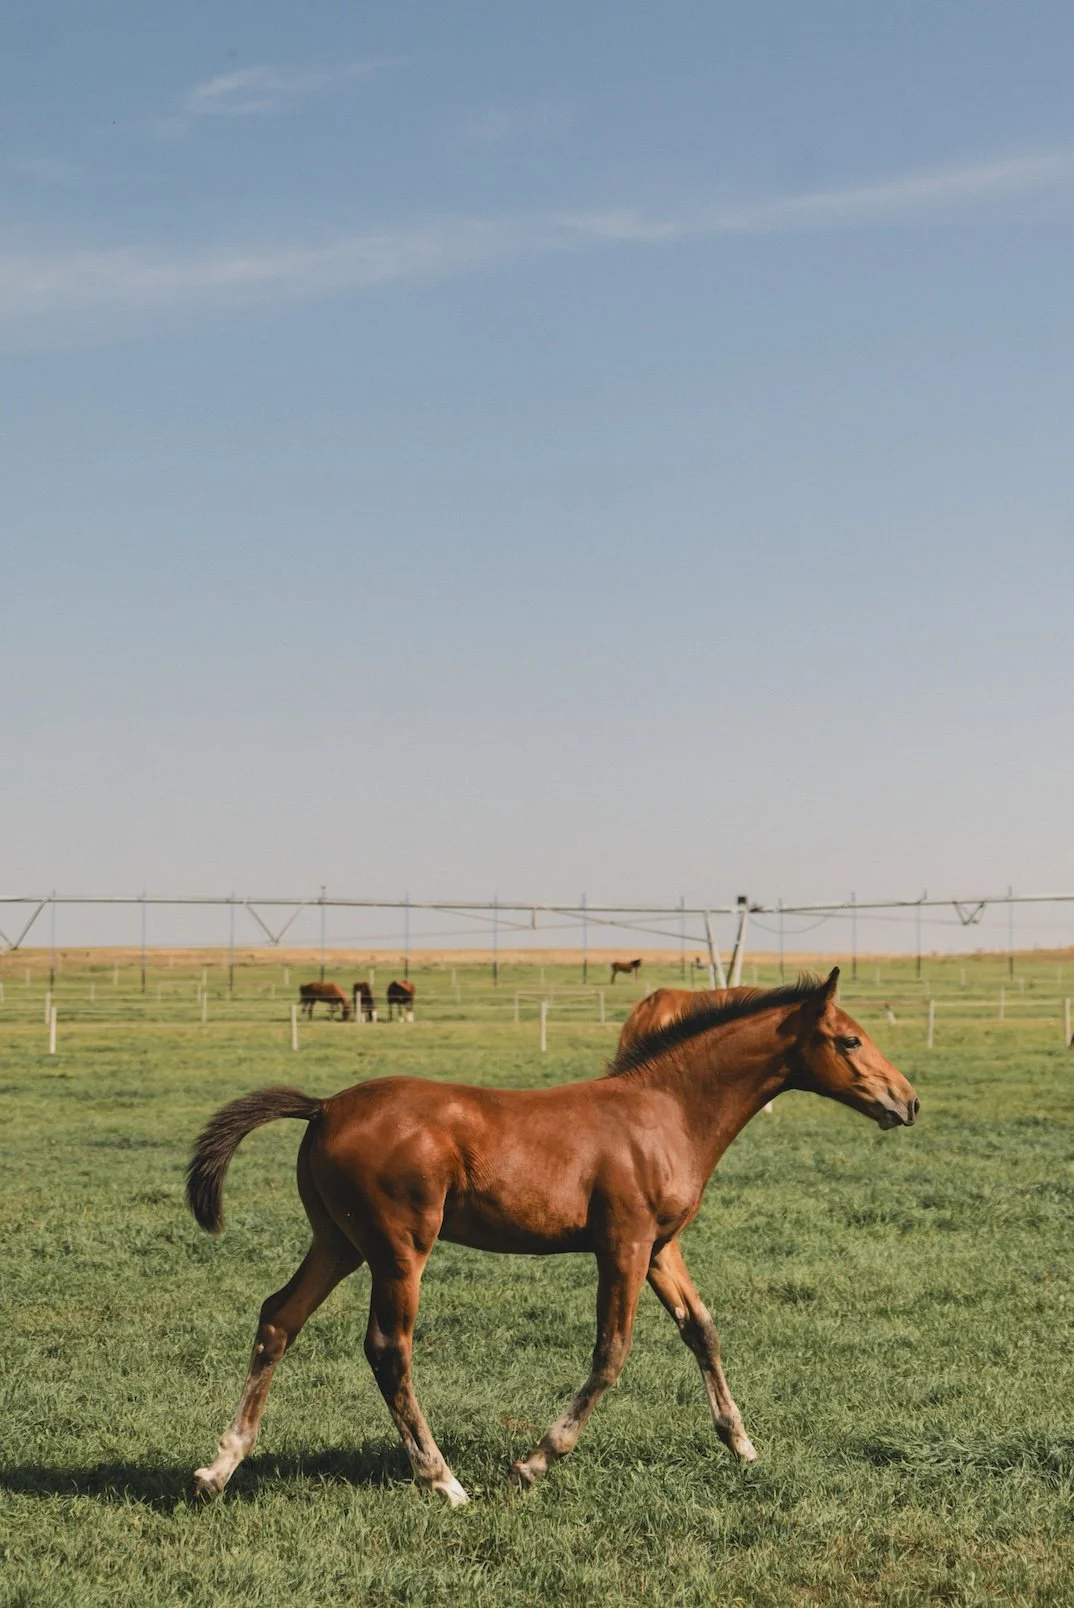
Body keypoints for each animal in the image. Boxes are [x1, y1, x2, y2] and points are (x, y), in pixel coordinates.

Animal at [186, 968, 917, 1507]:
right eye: (850, 1041)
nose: (907, 1102)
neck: (665, 1113)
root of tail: (324, 1107)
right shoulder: (623, 1244)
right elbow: (612, 1351)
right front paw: (535, 1462)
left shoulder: (660, 1248)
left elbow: (701, 1329)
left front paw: (741, 1444)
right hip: (398, 1250)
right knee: (388, 1349)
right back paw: (444, 1481)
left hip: (339, 1242)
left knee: (279, 1318)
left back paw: (218, 1469)